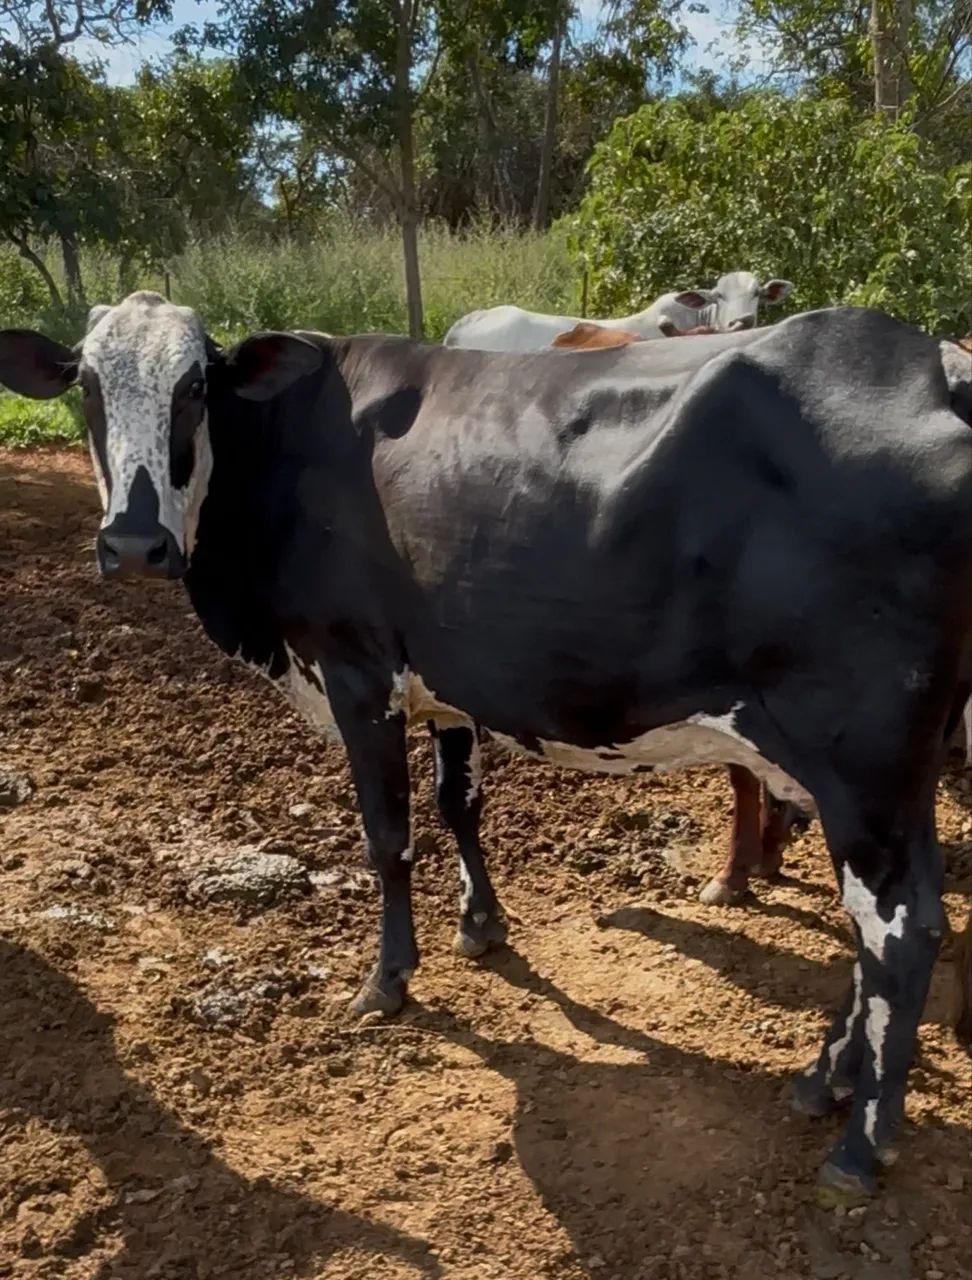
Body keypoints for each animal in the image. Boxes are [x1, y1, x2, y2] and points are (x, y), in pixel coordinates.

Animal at [3, 294, 972, 1204]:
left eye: (196, 387)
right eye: (87, 385)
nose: (134, 545)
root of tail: (933, 363)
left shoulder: (358, 674)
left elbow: (387, 838)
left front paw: (388, 979)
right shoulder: (446, 682)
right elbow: (456, 805)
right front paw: (481, 925)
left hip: (860, 756)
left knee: (902, 929)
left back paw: (860, 1146)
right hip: (895, 767)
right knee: (882, 924)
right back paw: (822, 1079)